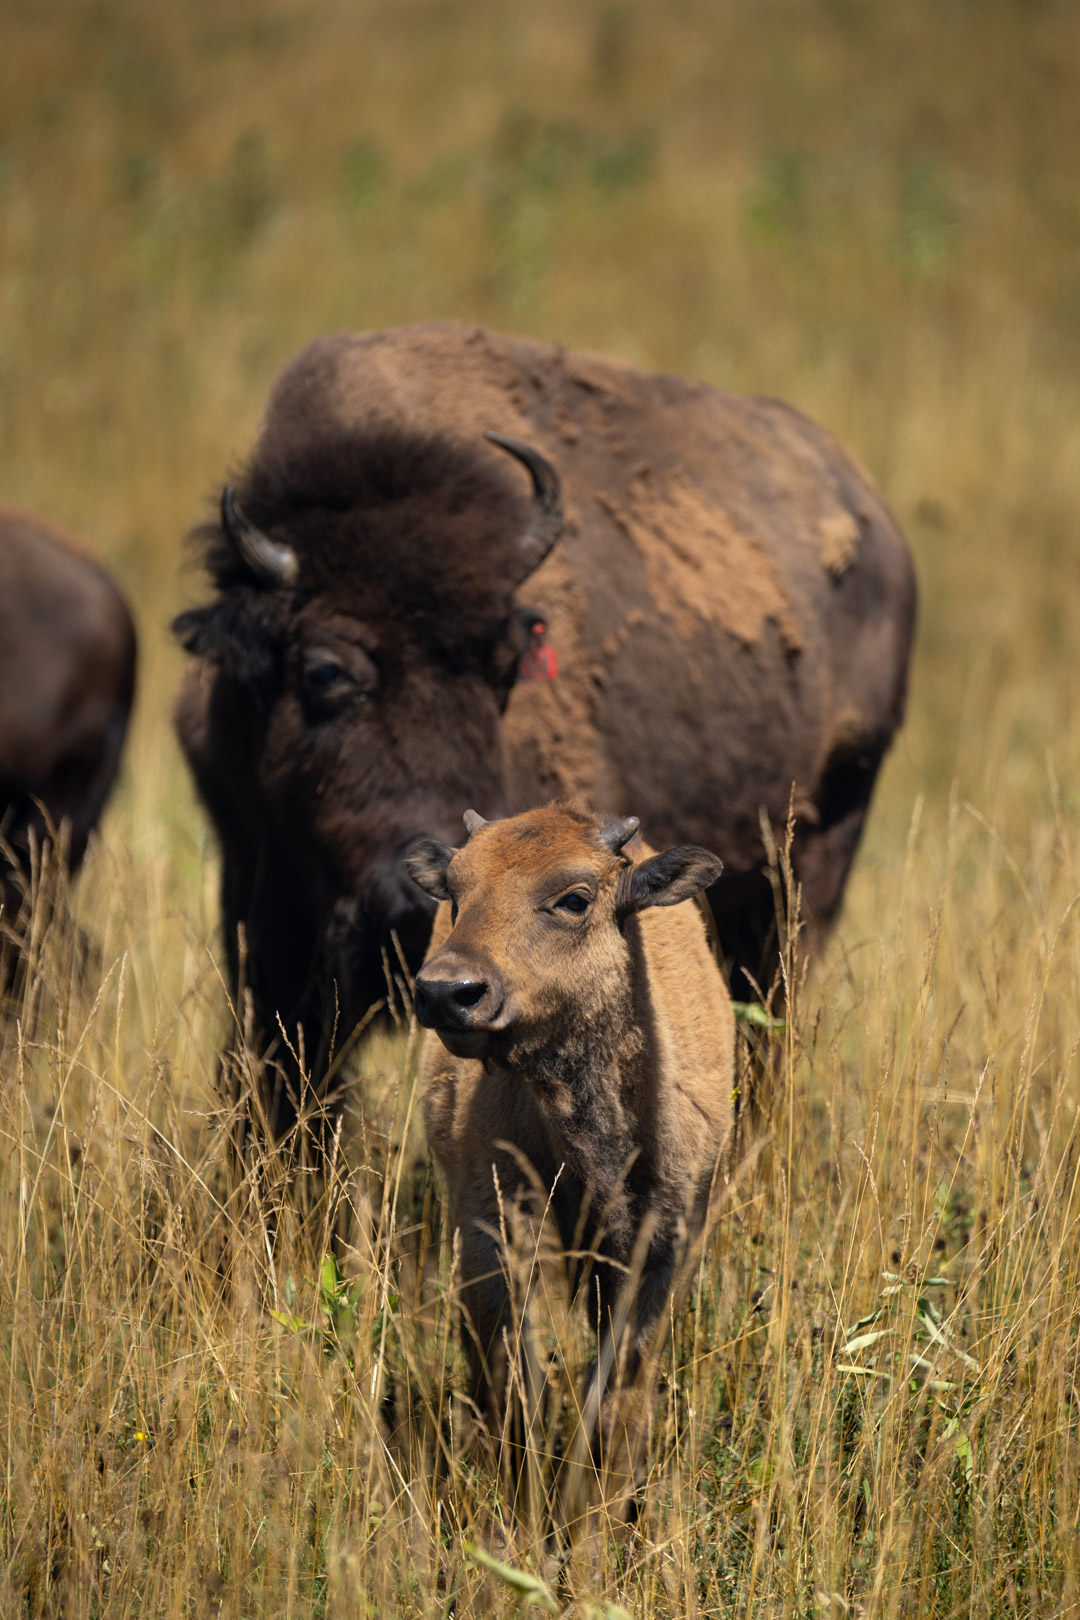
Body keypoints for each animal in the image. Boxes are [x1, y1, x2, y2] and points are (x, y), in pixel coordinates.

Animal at [173, 321, 916, 1144]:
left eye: (504, 668)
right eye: (325, 670)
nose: (419, 907)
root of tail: (878, 522)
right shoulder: (259, 897)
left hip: (813, 864)